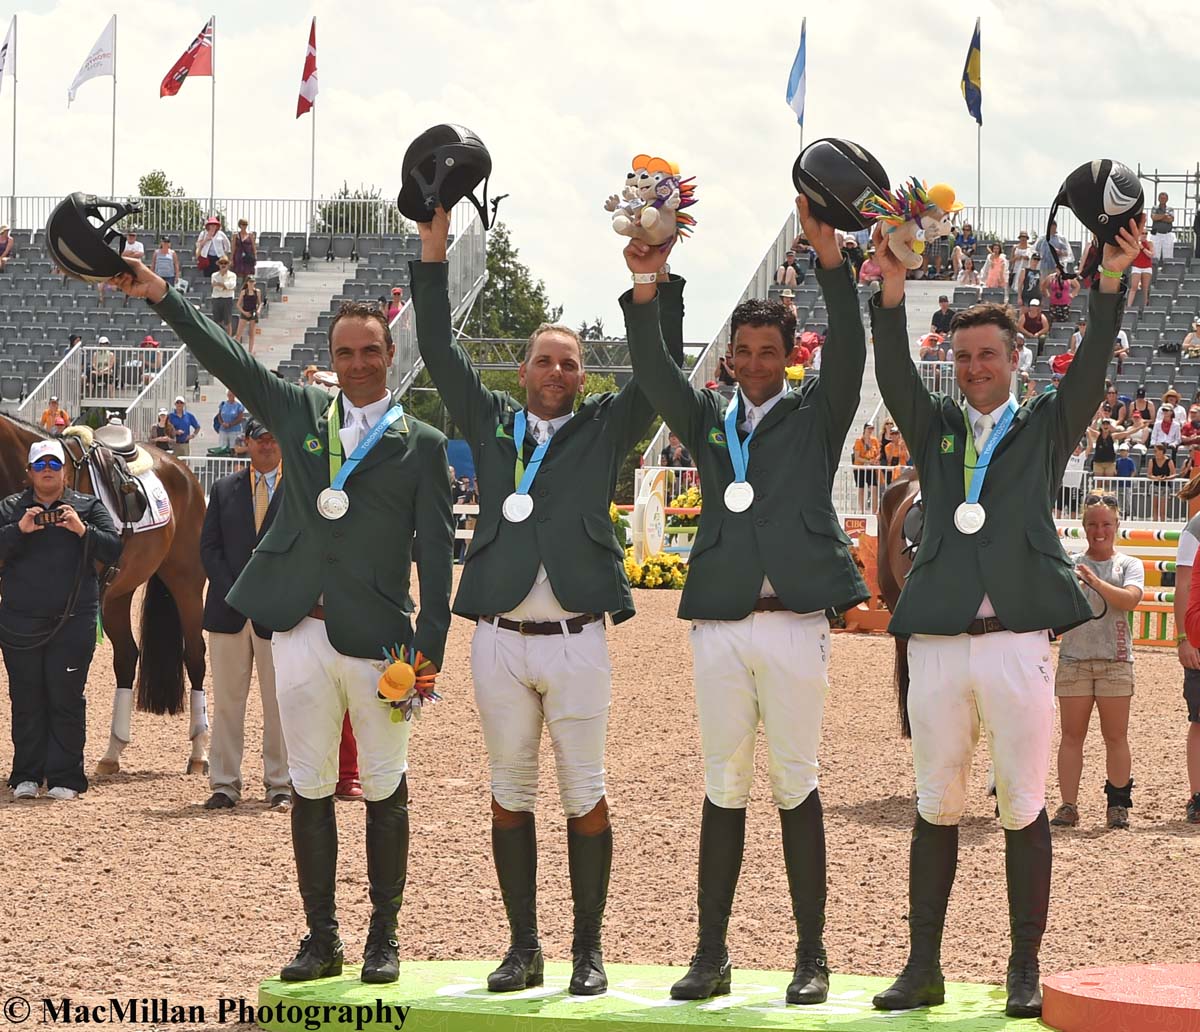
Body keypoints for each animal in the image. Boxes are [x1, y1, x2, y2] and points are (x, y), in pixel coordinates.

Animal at [0, 415, 208, 768]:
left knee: (195, 656)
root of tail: (184, 473)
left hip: (188, 582)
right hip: (117, 596)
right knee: (126, 656)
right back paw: (113, 752)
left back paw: (199, 752)